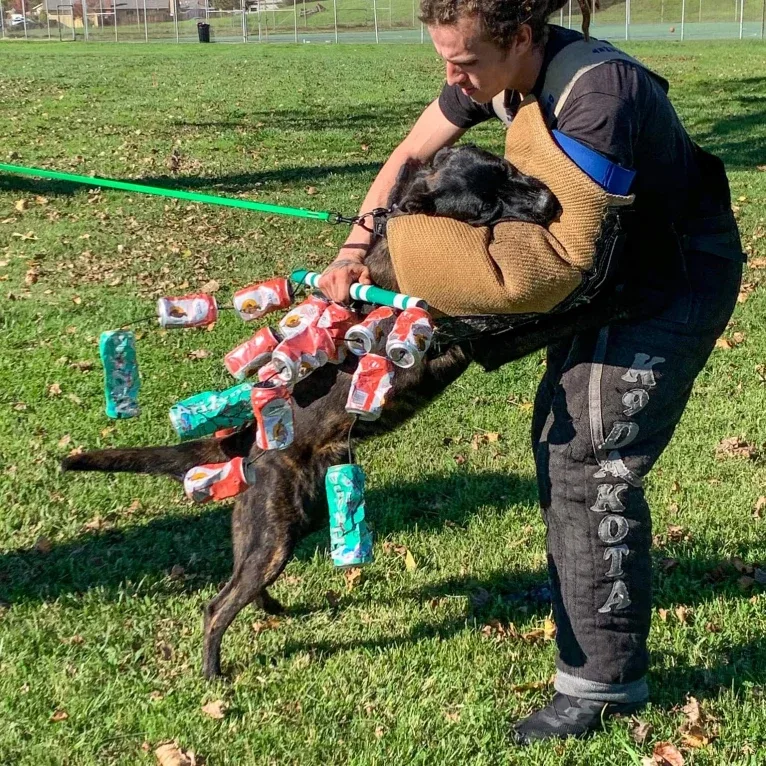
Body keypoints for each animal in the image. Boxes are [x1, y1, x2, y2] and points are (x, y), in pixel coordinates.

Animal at [61, 144, 636, 680]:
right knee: (215, 606)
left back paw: (274, 611)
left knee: (241, 584)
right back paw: (214, 673)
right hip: (276, 534)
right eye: (484, 209)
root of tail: (248, 439)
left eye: (508, 168)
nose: (547, 203)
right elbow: (576, 310)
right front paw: (623, 287)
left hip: (275, 529)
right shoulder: (491, 339)